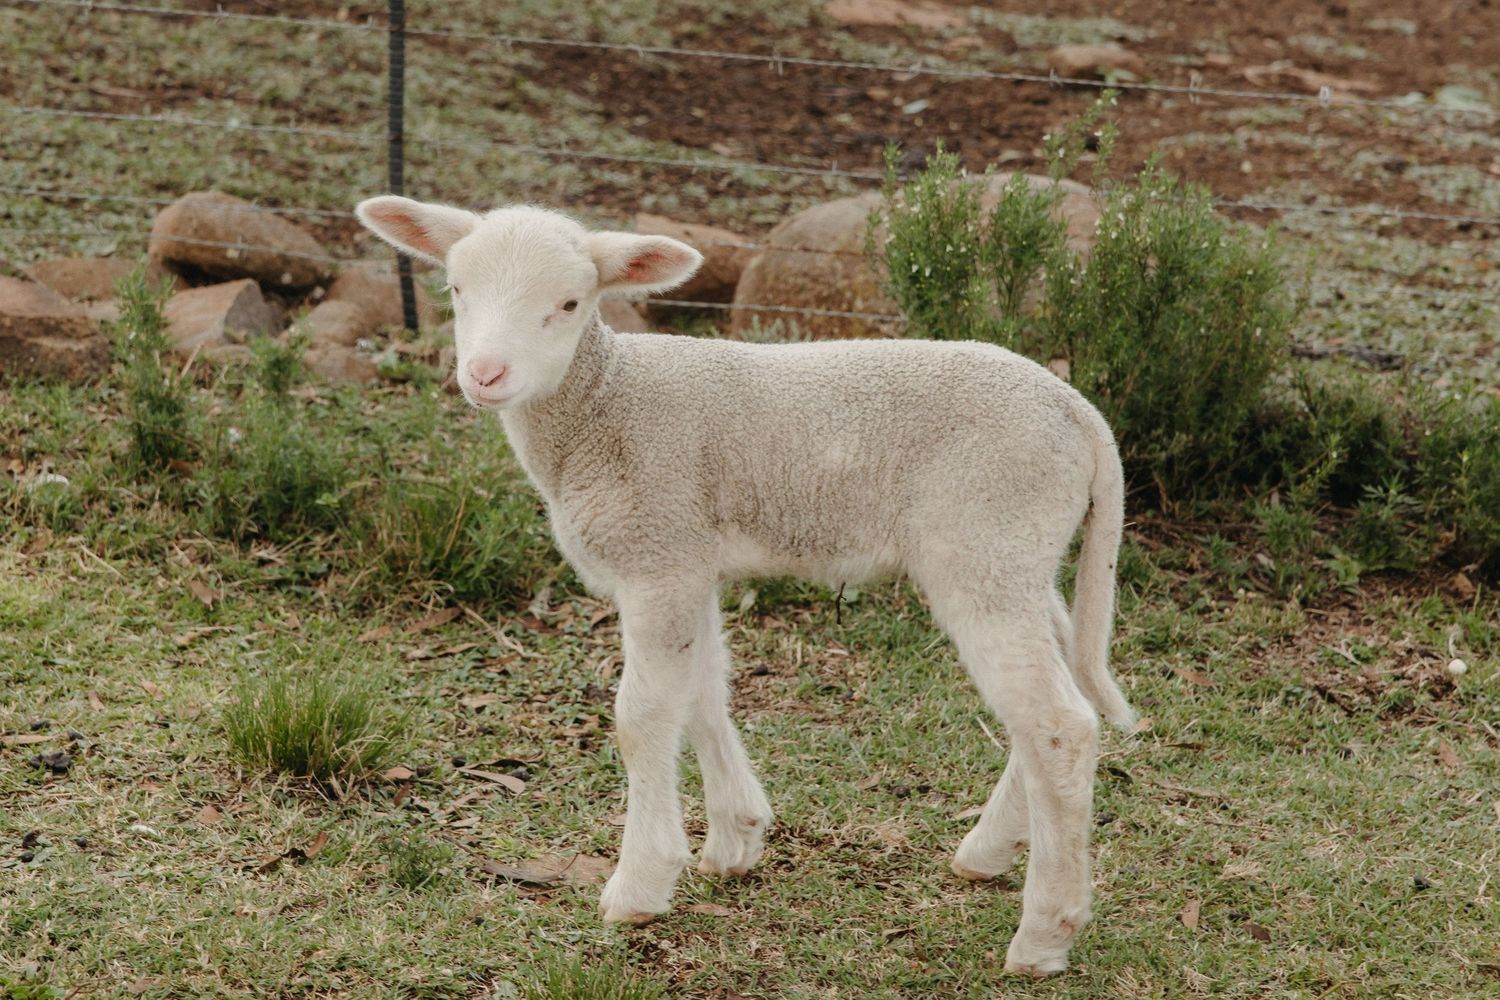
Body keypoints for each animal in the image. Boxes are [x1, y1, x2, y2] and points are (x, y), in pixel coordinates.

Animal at [355, 196, 1136, 977]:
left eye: (570, 303)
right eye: (455, 289)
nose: (485, 374)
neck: (603, 403)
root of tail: (1084, 417)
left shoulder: (657, 554)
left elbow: (642, 717)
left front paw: (640, 884)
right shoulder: (689, 557)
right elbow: (703, 693)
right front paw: (735, 837)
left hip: (985, 539)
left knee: (1058, 724)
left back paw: (1044, 933)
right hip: (1020, 554)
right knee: (1060, 684)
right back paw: (989, 850)